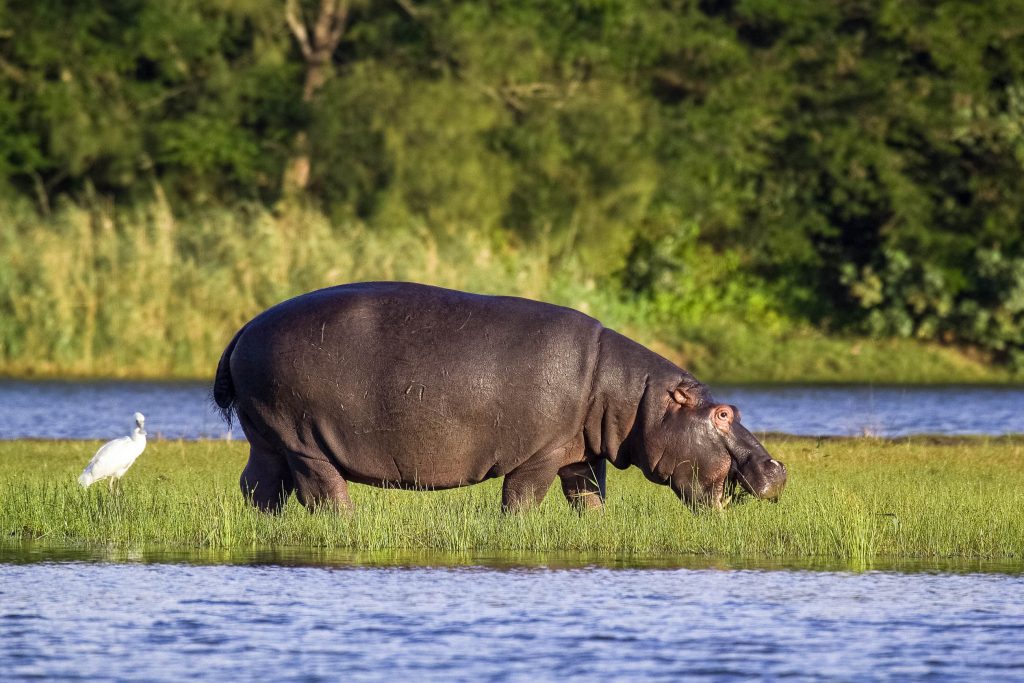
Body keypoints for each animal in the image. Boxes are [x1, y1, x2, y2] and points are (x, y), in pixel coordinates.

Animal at [209, 282, 782, 511]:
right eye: (723, 413)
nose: (777, 467)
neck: (632, 398)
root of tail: (241, 330)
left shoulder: (580, 454)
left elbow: (590, 499)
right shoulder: (541, 454)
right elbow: (521, 500)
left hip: (267, 435)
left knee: (258, 487)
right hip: (302, 439)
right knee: (323, 493)